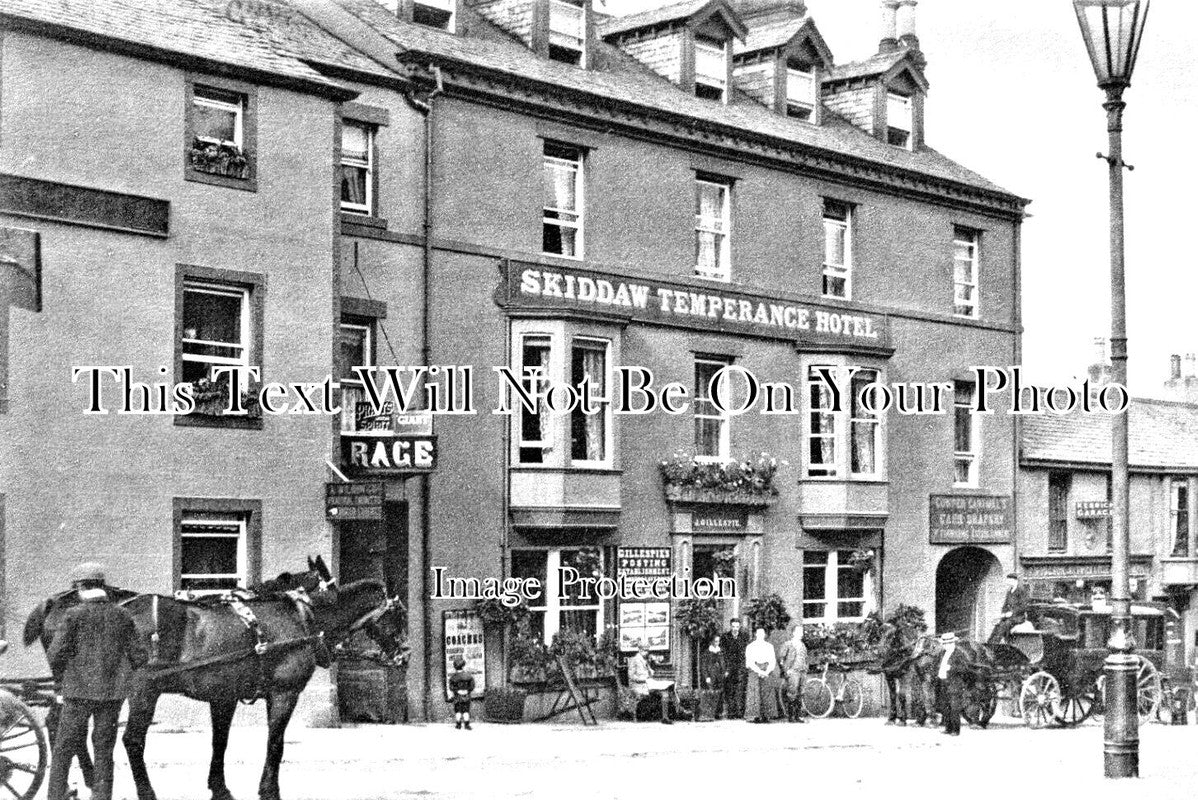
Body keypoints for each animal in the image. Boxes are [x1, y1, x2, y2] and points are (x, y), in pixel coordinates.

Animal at [23, 567, 404, 800]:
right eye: (398, 615)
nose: (404, 653)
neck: (299, 617)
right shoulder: (284, 693)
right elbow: (276, 744)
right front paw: (269, 789)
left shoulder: (225, 696)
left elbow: (220, 742)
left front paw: (219, 787)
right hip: (143, 691)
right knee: (128, 741)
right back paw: (141, 791)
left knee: (68, 727)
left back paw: (84, 781)